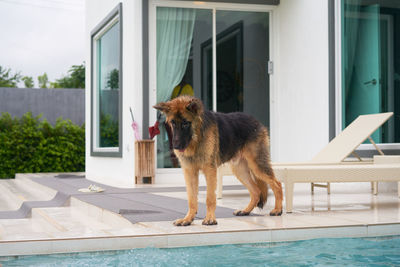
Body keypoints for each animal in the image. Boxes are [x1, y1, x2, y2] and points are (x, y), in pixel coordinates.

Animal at [155, 96, 282, 226]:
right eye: (173, 123)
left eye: (185, 123)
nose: (175, 146)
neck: (196, 139)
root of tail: (256, 121)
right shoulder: (189, 172)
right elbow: (191, 198)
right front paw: (188, 219)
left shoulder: (210, 171)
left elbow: (210, 198)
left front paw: (210, 218)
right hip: (240, 170)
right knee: (256, 191)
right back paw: (245, 211)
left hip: (256, 166)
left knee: (277, 184)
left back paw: (277, 210)